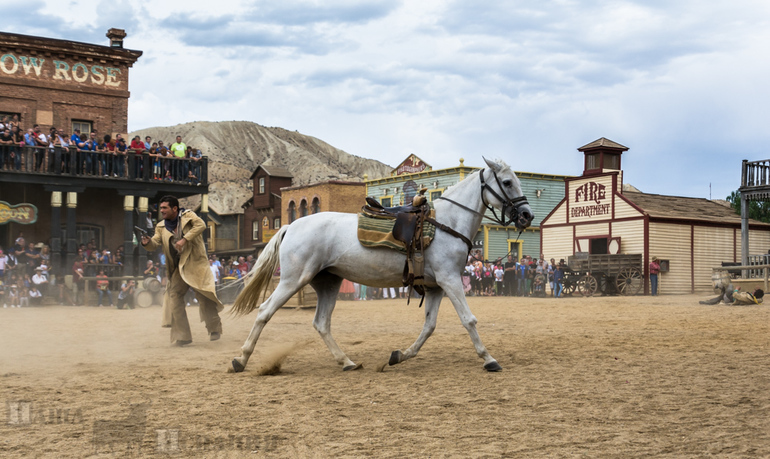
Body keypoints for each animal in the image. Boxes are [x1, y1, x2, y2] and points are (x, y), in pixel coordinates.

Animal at [228, 158, 536, 374]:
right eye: (507, 182)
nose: (526, 215)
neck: (446, 224)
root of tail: (290, 226)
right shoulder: (450, 280)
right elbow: (469, 320)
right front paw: (489, 359)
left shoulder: (436, 287)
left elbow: (429, 326)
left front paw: (400, 355)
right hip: (294, 280)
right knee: (265, 312)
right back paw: (241, 359)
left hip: (328, 283)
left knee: (321, 323)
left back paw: (347, 361)